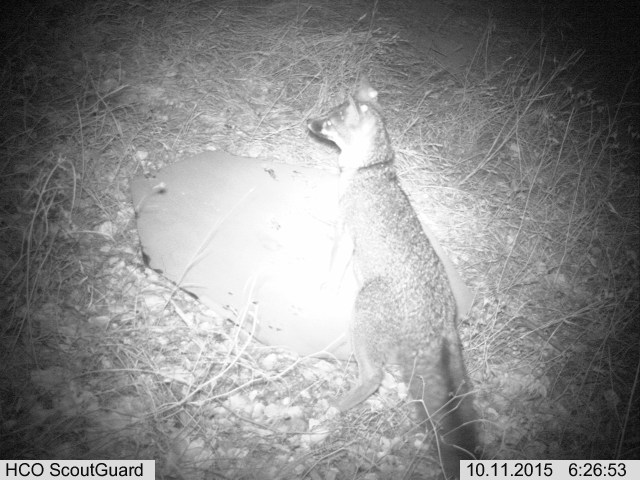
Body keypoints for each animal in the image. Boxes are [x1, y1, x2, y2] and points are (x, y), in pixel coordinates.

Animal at [307, 80, 478, 479]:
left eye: (329, 121)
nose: (309, 122)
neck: (371, 169)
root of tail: (439, 317)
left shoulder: (346, 231)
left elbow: (334, 266)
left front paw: (326, 286)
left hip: (362, 317)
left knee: (373, 378)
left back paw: (333, 410)